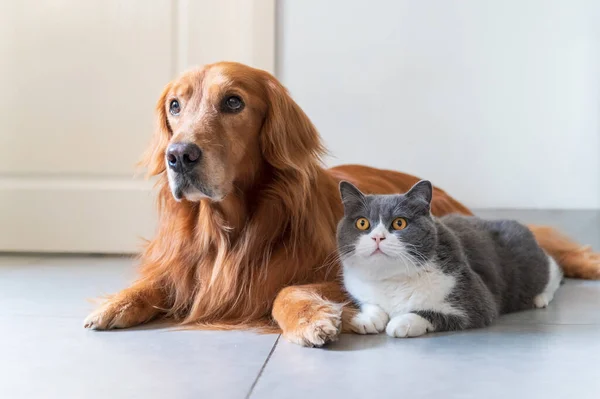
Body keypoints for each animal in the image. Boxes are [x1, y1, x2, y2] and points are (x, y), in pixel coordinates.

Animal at [338, 180, 564, 340]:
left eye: (399, 223)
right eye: (362, 223)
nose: (377, 237)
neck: (392, 281)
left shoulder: (476, 301)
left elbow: (430, 313)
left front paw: (402, 322)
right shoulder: (358, 288)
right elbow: (370, 304)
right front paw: (367, 319)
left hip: (531, 264)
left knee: (553, 269)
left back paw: (540, 298)